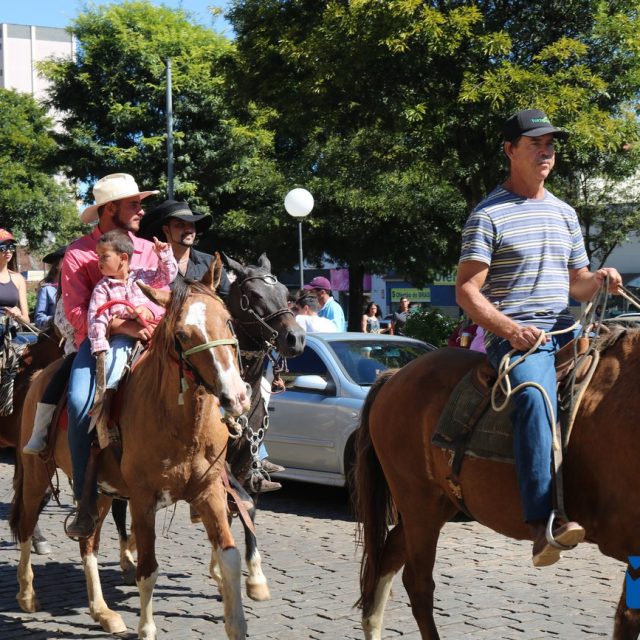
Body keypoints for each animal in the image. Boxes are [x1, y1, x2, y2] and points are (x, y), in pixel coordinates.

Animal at [11, 256, 252, 639]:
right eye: (182, 335)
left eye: (227, 320)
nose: (237, 397)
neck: (180, 423)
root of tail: (36, 378)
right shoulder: (142, 498)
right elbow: (147, 568)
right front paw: (147, 628)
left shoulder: (211, 490)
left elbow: (229, 555)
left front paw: (236, 623)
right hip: (37, 474)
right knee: (25, 522)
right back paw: (26, 593)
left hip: (98, 490)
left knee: (88, 541)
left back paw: (102, 612)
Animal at [353, 329, 640, 640]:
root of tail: (395, 375)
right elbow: (628, 619)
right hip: (418, 501)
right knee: (418, 584)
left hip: (437, 503)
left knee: (390, 555)